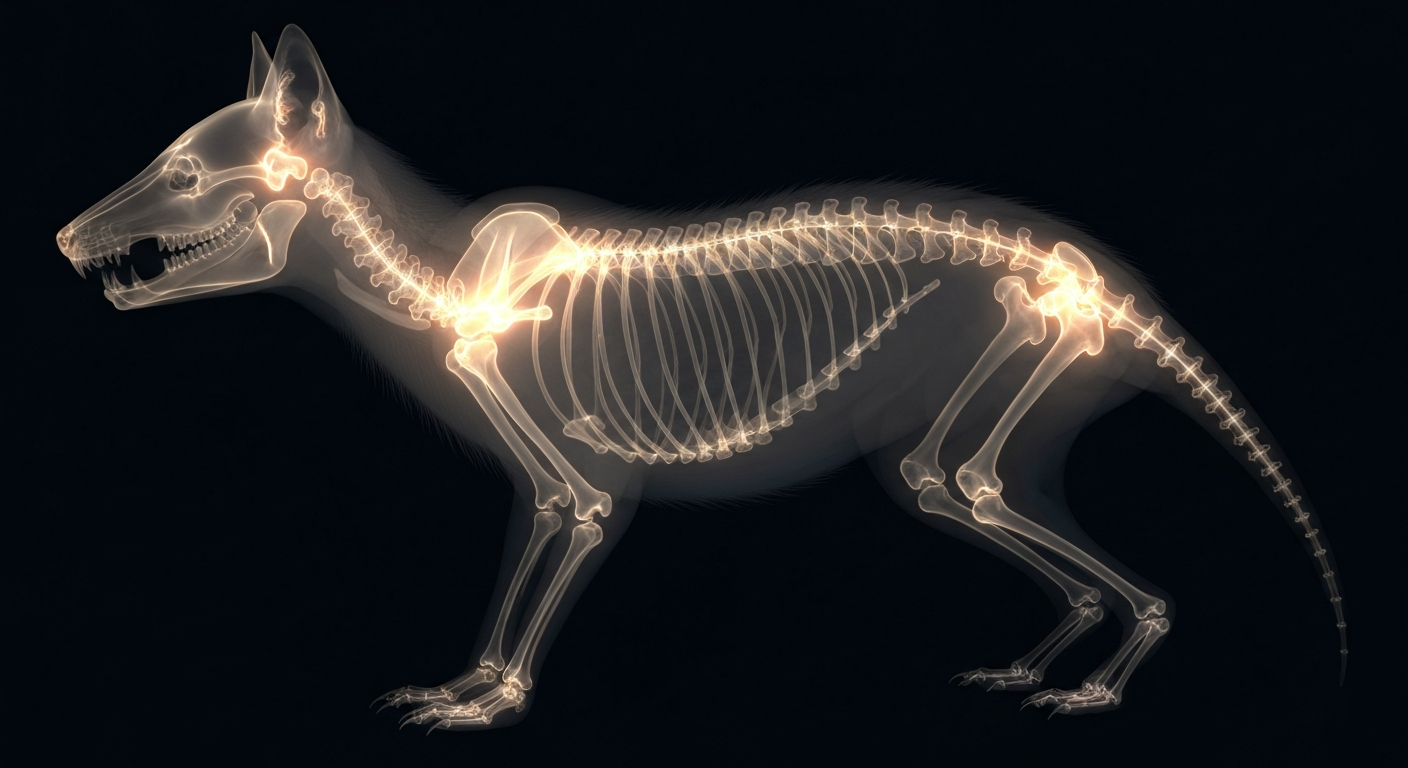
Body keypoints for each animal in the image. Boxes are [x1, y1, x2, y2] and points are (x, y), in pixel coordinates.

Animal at [56, 25, 1345, 731]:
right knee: (958, 483)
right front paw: (462, 686)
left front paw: (492, 702)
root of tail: (1076, 268)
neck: (444, 291)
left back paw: (1096, 683)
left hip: (1018, 336)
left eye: (186, 168)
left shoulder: (542, 424)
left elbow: (574, 507)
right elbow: (538, 516)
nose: (69, 238)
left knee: (962, 478)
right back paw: (1037, 665)